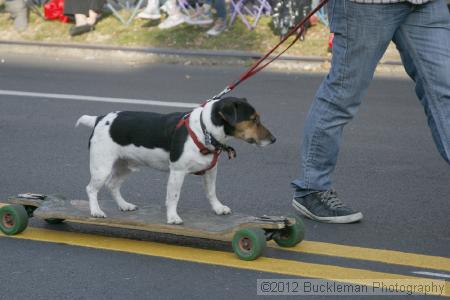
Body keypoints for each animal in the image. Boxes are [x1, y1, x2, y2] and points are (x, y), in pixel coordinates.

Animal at [75, 97, 276, 224]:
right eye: (253, 119)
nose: (274, 140)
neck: (205, 131)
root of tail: (100, 119)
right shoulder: (177, 172)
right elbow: (173, 197)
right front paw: (172, 218)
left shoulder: (211, 170)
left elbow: (211, 192)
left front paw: (218, 208)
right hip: (102, 168)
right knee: (91, 189)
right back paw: (96, 211)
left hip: (126, 166)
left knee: (113, 185)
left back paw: (124, 205)